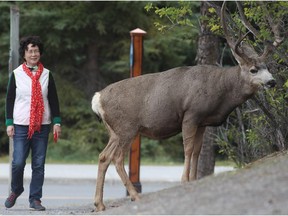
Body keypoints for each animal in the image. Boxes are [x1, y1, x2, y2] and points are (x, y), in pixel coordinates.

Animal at [91, 1, 278, 211]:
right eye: (253, 69)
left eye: (267, 67)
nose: (272, 82)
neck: (220, 90)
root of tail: (97, 98)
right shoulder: (191, 114)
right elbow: (187, 149)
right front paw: (184, 181)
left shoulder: (203, 122)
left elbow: (197, 150)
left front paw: (194, 180)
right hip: (127, 127)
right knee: (116, 158)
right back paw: (135, 196)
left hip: (115, 131)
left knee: (103, 156)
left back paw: (100, 204)